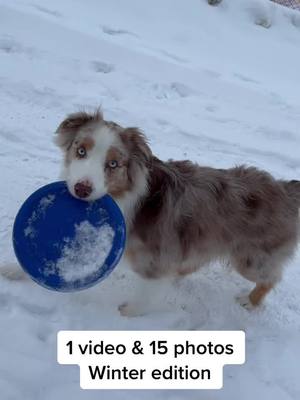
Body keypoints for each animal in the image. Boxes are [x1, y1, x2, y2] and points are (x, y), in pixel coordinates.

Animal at [55, 109, 300, 316]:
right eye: (81, 151)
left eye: (113, 164)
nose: (82, 189)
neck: (128, 196)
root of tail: (287, 188)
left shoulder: (155, 261)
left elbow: (145, 294)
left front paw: (129, 312)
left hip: (250, 258)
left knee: (272, 277)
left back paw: (250, 301)